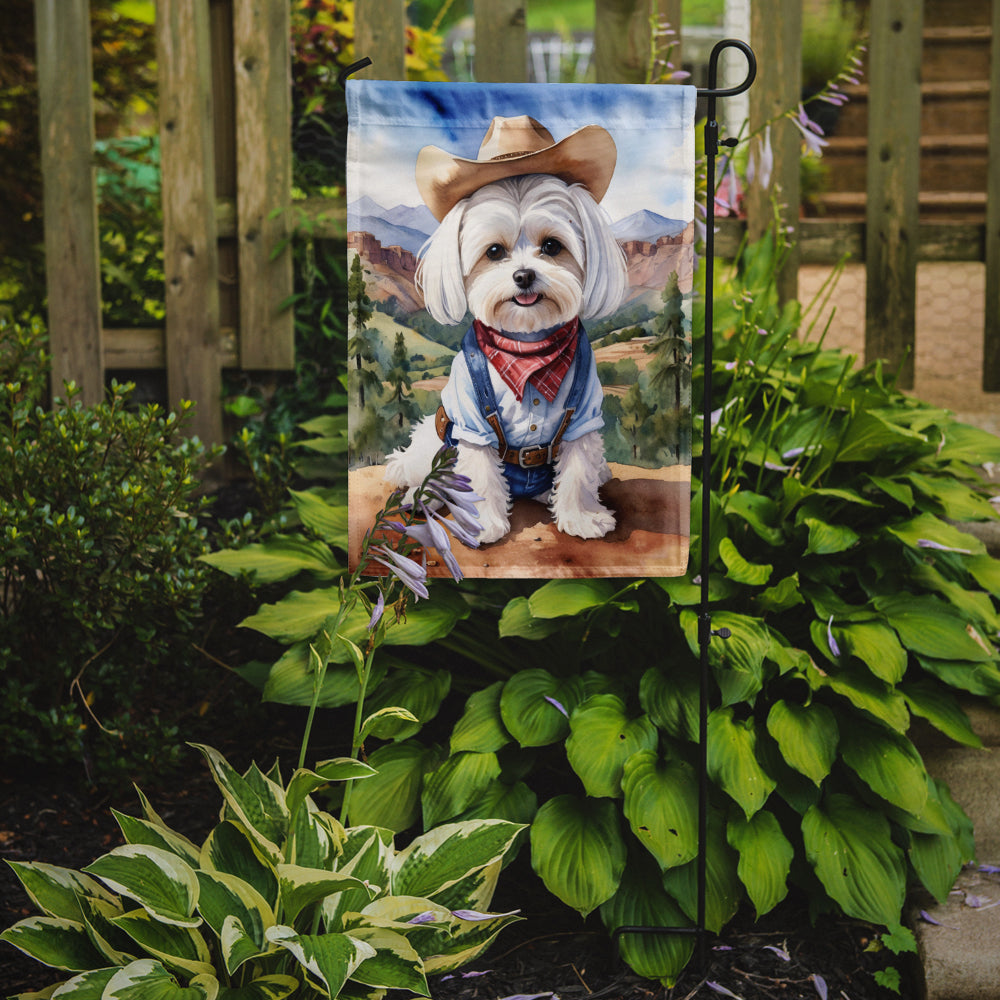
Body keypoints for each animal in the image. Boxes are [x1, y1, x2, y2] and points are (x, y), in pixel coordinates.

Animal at [382, 117, 624, 548]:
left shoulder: (584, 415)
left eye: (552, 246)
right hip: (434, 439)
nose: (524, 275)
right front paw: (483, 525)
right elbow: (479, 472)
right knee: (429, 473)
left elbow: (579, 467)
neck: (528, 351)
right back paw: (418, 497)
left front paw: (582, 518)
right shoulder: (472, 422)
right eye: (494, 252)